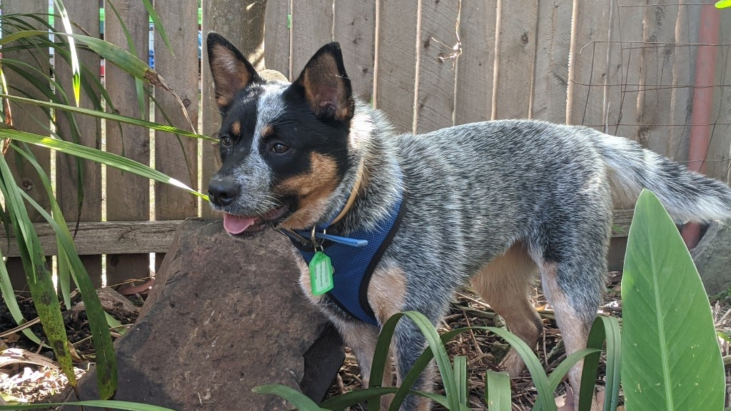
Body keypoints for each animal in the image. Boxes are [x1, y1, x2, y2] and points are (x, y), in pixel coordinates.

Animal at [203, 33, 731, 410]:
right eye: (227, 140)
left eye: (279, 145)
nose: (218, 191)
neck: (345, 220)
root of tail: (578, 133)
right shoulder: (355, 328)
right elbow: (375, 391)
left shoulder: (412, 326)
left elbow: (405, 398)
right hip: (492, 278)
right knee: (528, 327)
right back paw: (509, 378)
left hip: (569, 285)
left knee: (584, 361)